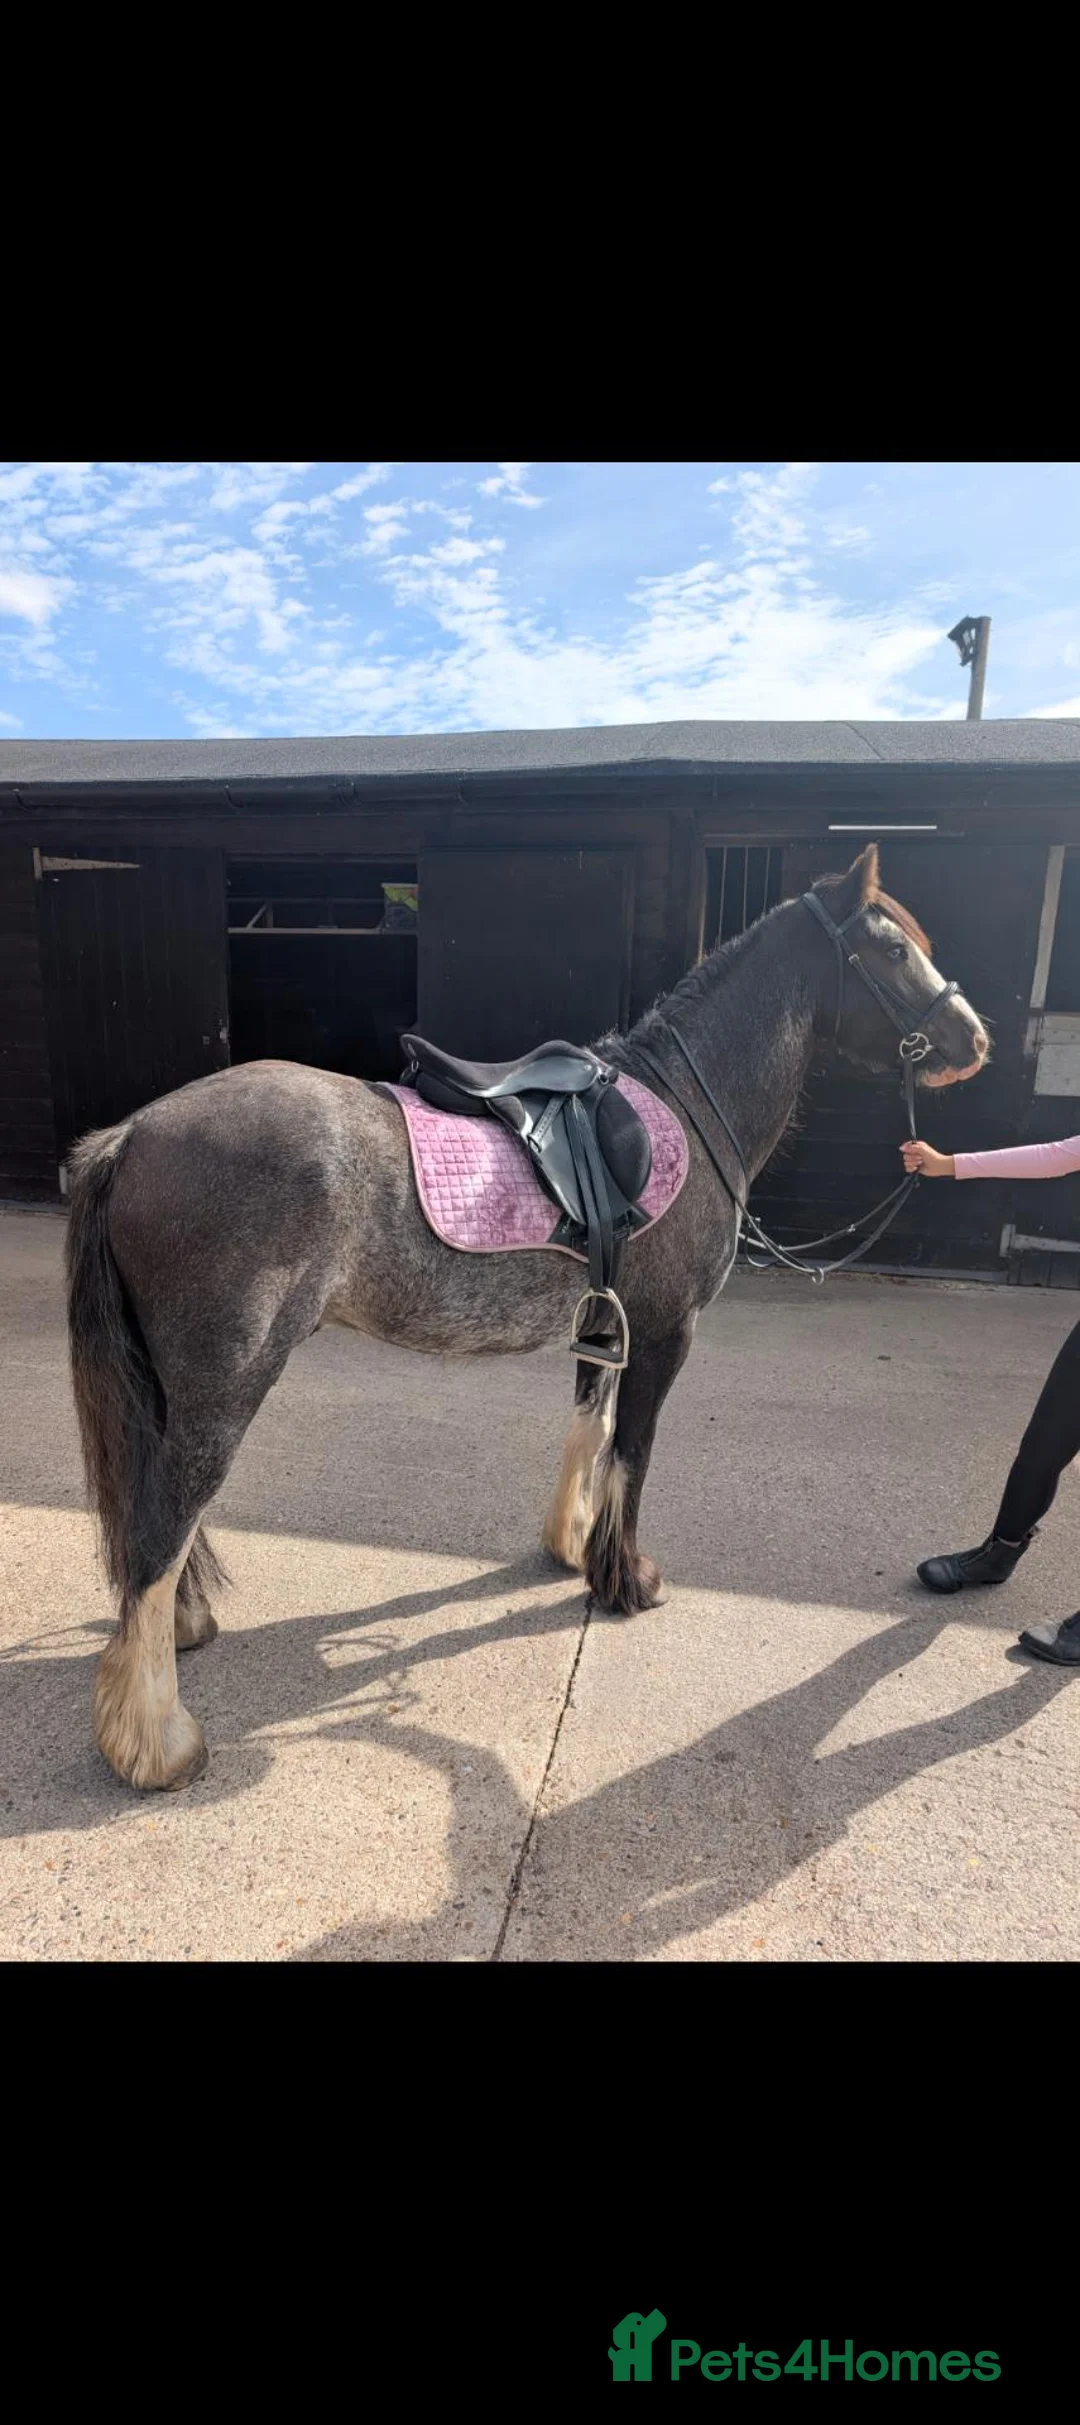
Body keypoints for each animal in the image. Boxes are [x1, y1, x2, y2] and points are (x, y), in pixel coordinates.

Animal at [64, 843, 989, 1791]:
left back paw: (181, 1634)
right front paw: (627, 1581)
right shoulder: (667, 1332)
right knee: (159, 1527)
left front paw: (573, 1549)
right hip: (223, 1389)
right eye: (891, 950)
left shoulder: (605, 1325)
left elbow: (590, 1429)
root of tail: (131, 1136)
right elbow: (633, 1453)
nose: (975, 1039)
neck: (682, 1109)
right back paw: (158, 1741)